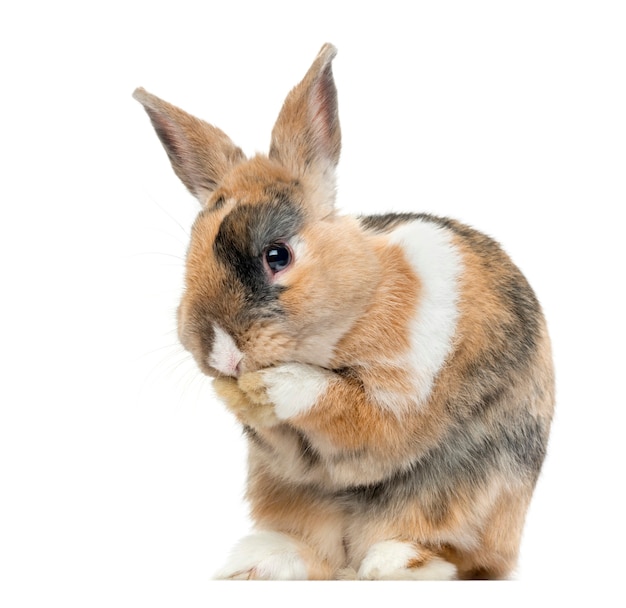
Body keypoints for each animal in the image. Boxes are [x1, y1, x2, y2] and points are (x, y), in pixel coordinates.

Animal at [133, 42, 552, 580]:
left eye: (277, 256)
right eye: (190, 259)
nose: (223, 356)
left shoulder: (397, 397)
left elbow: (341, 406)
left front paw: (273, 385)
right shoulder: (287, 457)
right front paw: (234, 392)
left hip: (469, 496)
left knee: (459, 556)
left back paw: (393, 565)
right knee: (318, 554)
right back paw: (260, 563)